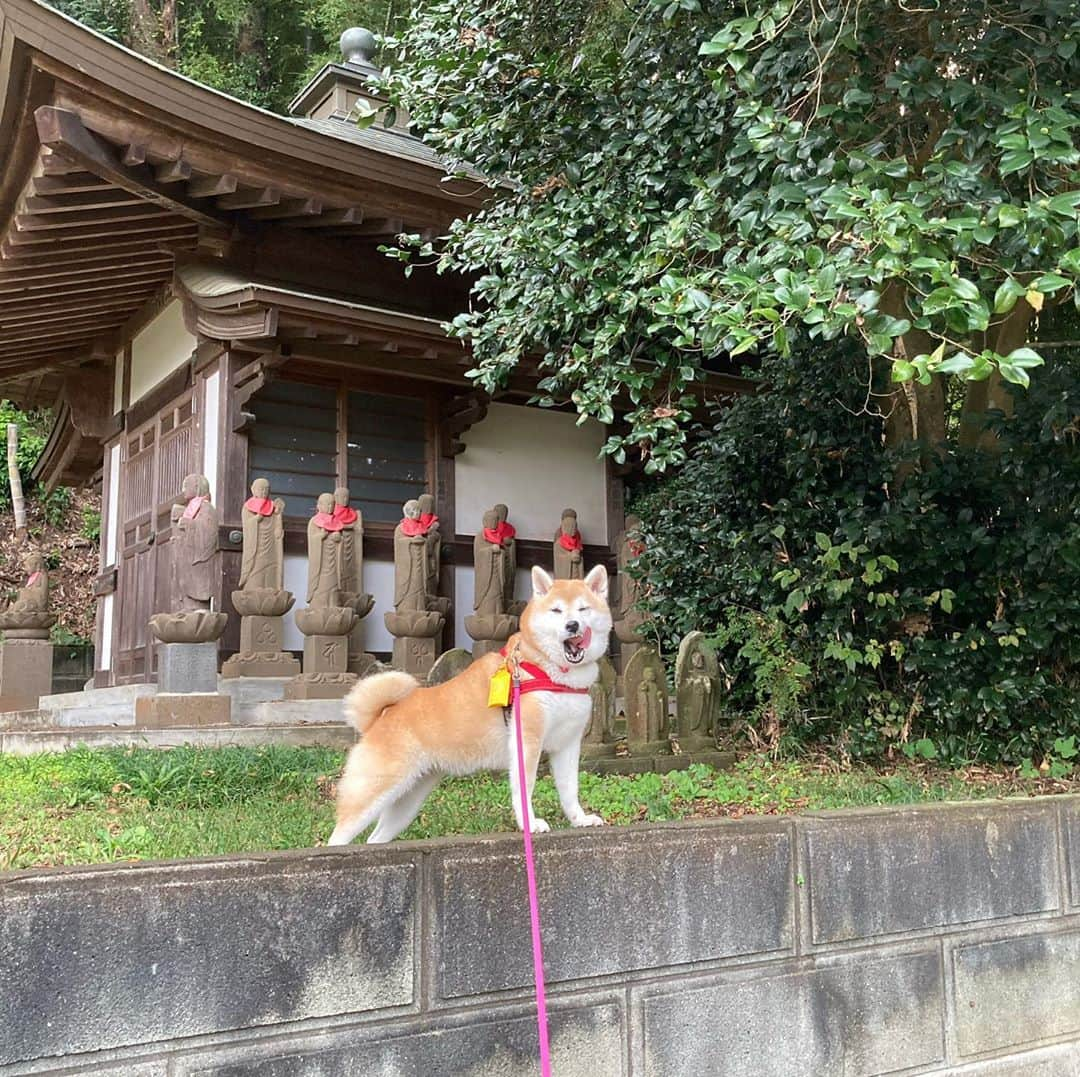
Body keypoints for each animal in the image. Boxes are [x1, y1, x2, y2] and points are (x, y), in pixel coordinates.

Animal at [324, 557, 613, 846]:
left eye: (583, 609)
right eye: (556, 610)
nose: (572, 625)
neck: (550, 670)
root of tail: (379, 718)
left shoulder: (568, 743)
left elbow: (570, 789)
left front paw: (580, 820)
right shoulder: (526, 741)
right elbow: (526, 788)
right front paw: (530, 824)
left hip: (407, 800)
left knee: (375, 839)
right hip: (373, 791)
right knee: (338, 836)